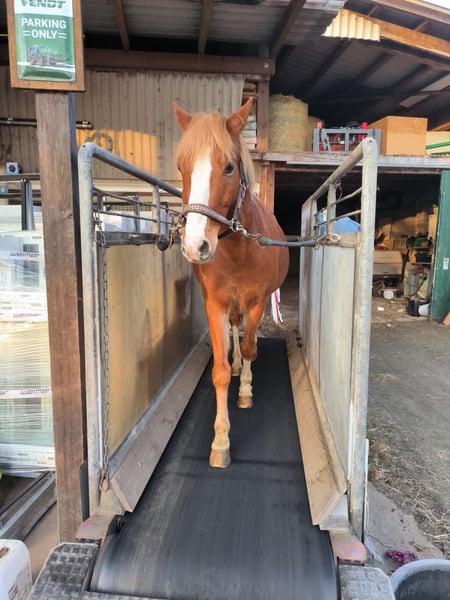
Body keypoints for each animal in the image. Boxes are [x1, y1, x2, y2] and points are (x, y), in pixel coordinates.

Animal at [173, 97, 289, 468]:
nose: (195, 246)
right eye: (181, 167)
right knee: (234, 334)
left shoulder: (257, 303)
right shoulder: (216, 305)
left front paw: (246, 392)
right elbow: (221, 370)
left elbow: (251, 347)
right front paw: (221, 441)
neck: (240, 249)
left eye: (228, 168)